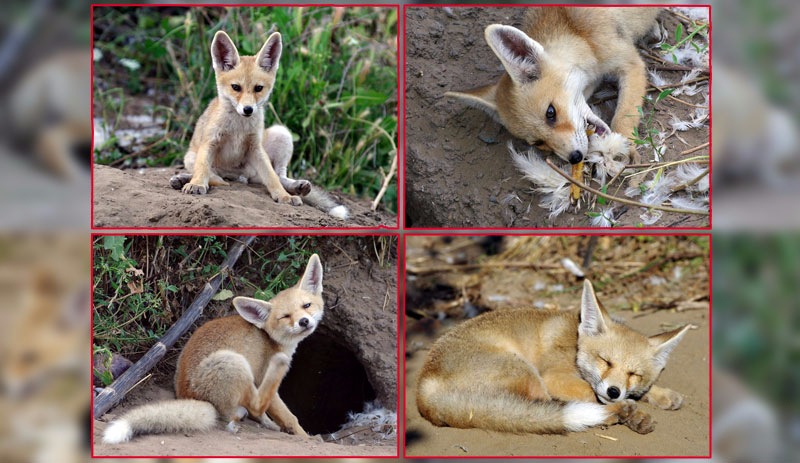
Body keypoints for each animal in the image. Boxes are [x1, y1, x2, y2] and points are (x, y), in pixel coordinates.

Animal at [102, 256, 324, 444]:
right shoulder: (262, 378)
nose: (304, 322)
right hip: (233, 362)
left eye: (307, 305)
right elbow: (290, 417)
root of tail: (189, 395)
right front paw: (308, 438)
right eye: (285, 317)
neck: (273, 340)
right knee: (255, 405)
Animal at [416, 280, 692, 436]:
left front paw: (661, 394)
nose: (614, 391)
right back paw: (618, 414)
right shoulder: (555, 377)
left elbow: (640, 391)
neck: (575, 342)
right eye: (605, 361)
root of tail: (423, 390)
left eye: (633, 374)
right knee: (546, 408)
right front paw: (632, 409)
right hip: (527, 373)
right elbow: (590, 394)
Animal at [446, 7, 660, 165]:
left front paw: (619, 145)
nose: (575, 158)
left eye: (551, 112)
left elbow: (624, 116)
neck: (579, 35)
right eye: (538, 143)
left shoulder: (630, 64)